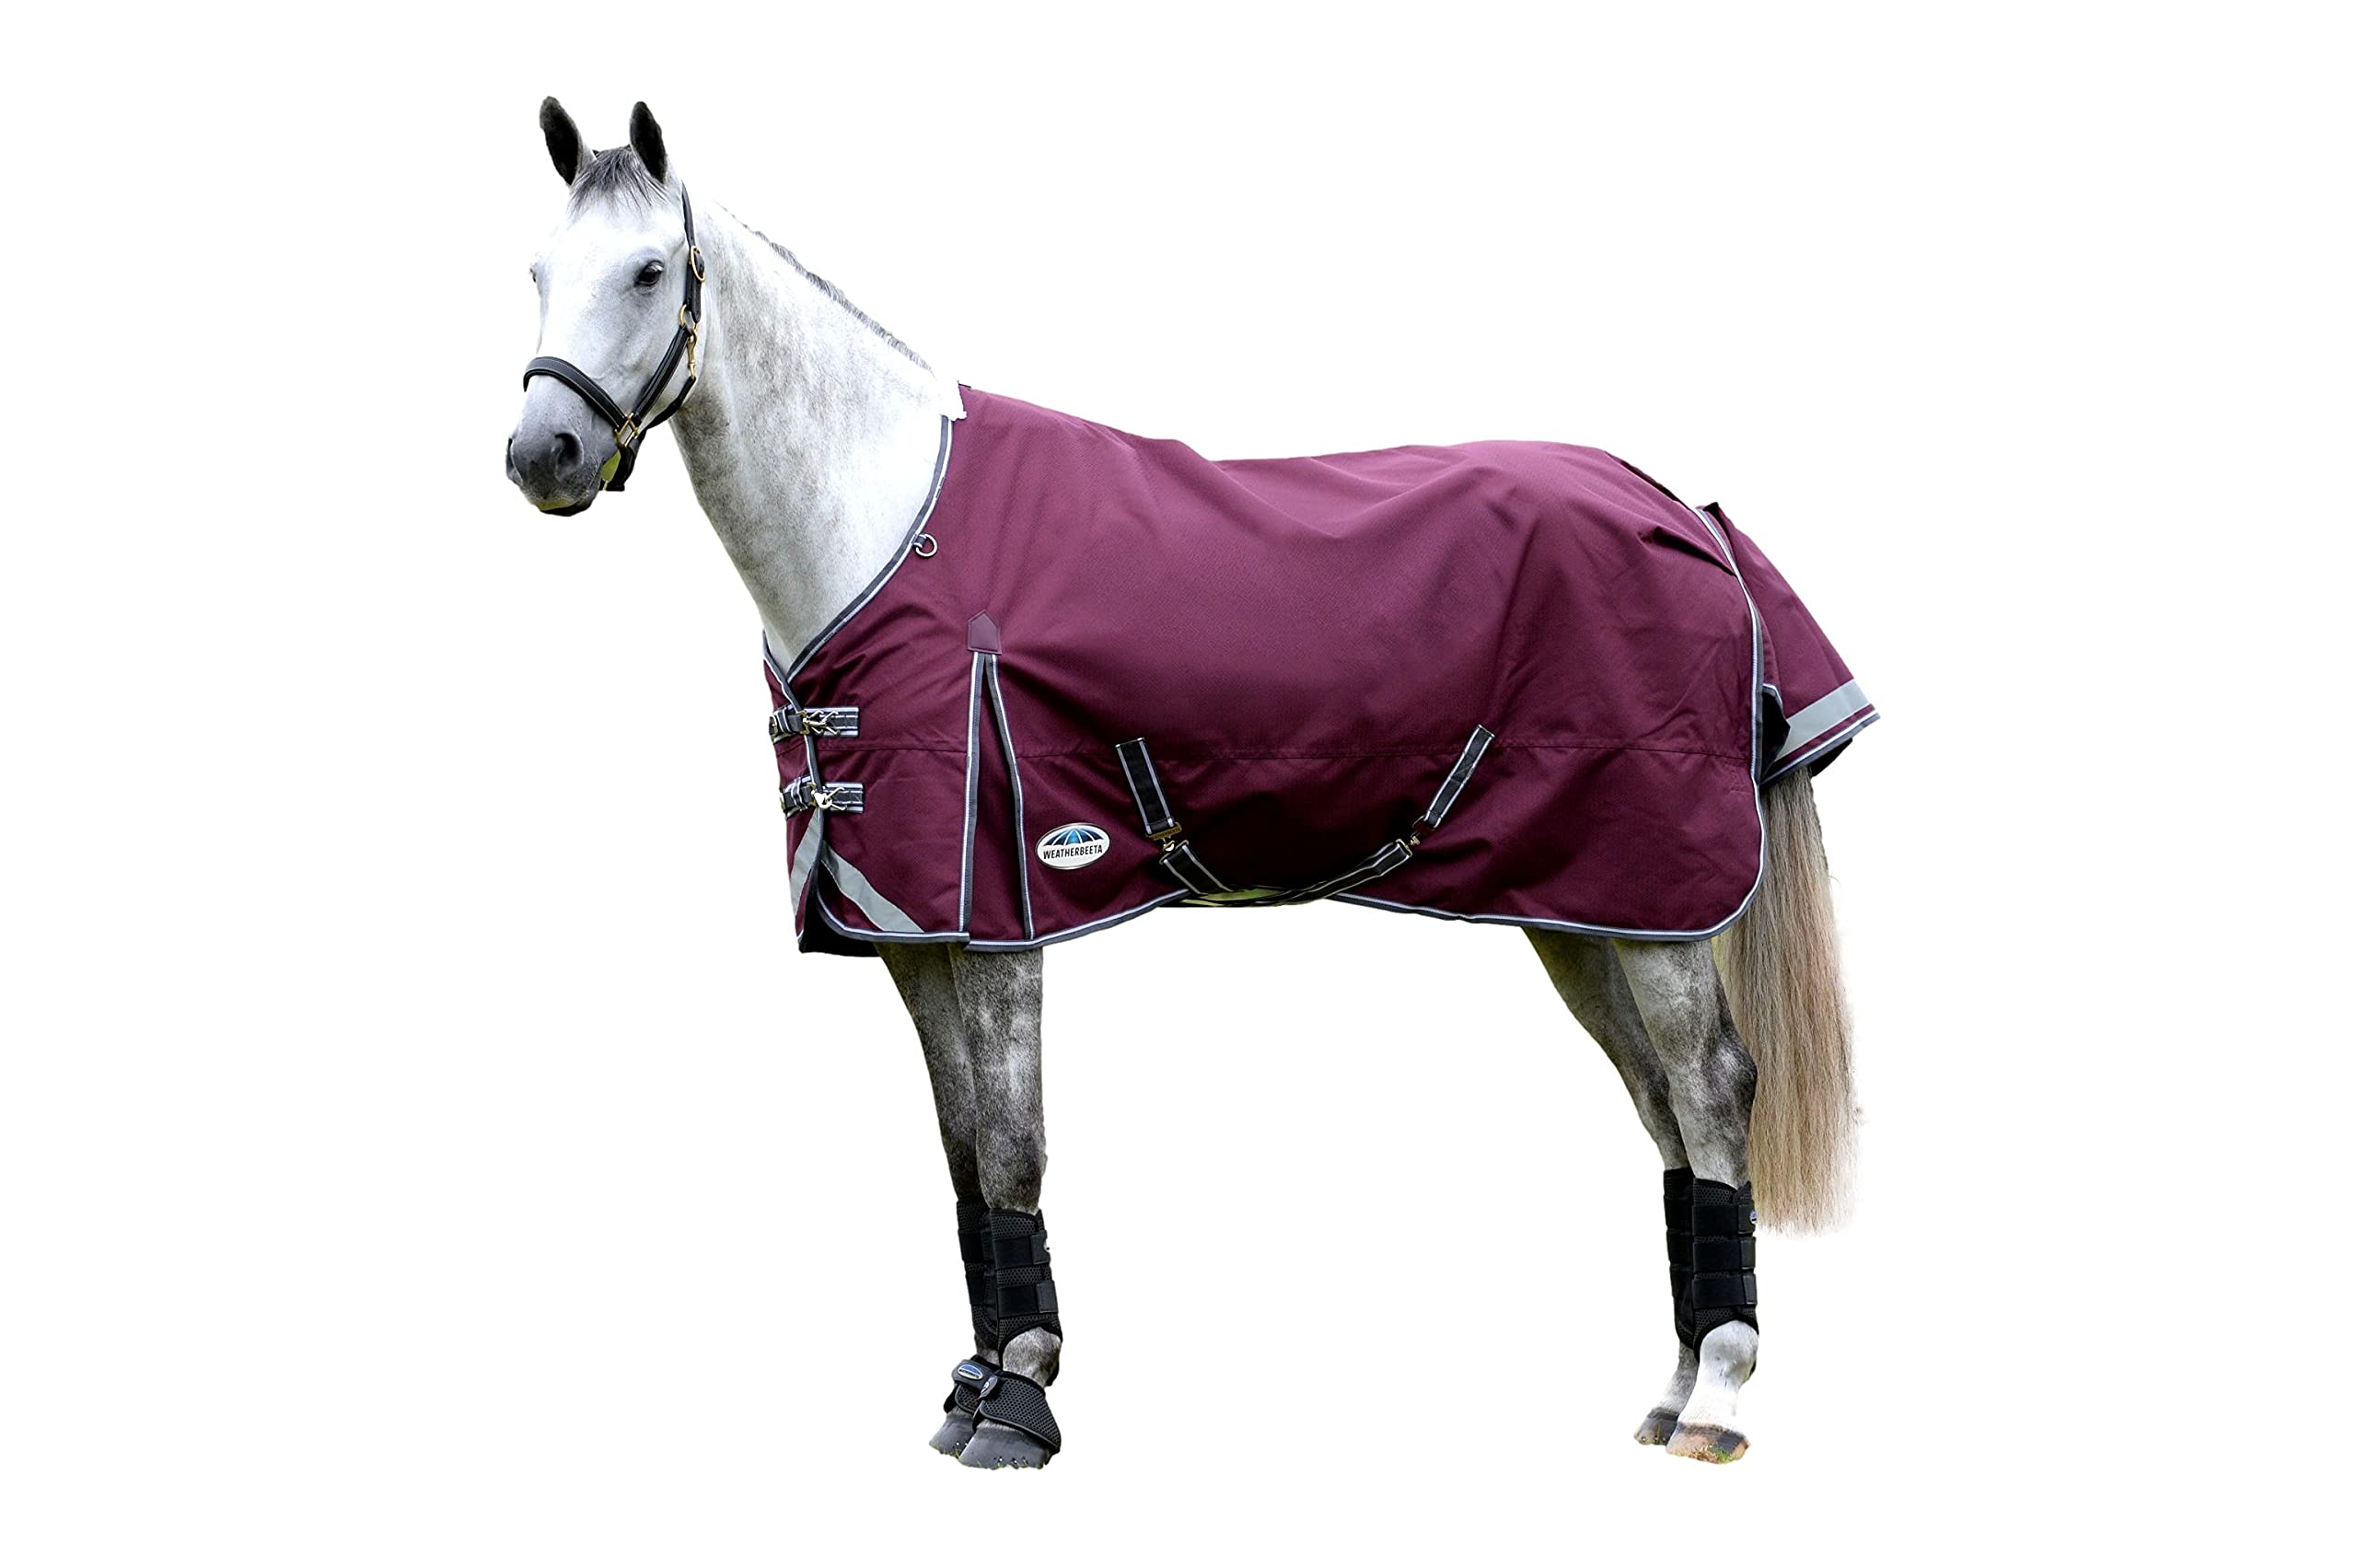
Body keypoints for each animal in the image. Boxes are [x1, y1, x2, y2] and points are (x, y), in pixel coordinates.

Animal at [505, 100, 1866, 1470]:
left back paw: (1719, 1394)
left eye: (649, 271)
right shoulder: (918, 930)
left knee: (1712, 1088)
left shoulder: (1002, 914)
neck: (888, 530)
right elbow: (961, 1153)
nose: (541, 454)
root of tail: (1679, 508)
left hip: (1658, 900)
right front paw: (972, 1385)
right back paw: (1673, 1386)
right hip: (1585, 903)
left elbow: (1013, 1145)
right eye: (536, 273)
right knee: (1663, 1106)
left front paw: (1022, 1402)